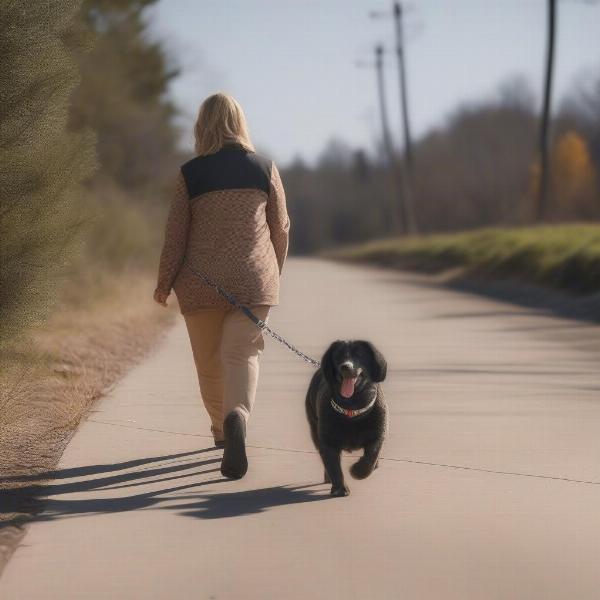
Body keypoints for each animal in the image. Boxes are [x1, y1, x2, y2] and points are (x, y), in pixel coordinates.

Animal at [308, 340, 386, 494]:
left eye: (360, 354)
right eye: (338, 355)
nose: (345, 366)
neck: (352, 409)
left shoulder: (377, 435)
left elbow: (370, 457)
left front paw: (358, 471)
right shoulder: (327, 441)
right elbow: (333, 465)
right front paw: (339, 488)